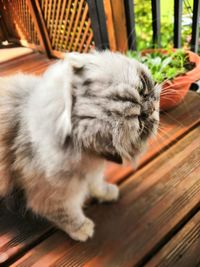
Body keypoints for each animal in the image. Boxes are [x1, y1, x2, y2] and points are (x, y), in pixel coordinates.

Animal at [0, 50, 160, 243]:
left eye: (142, 88)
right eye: (140, 121)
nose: (151, 109)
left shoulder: (92, 169)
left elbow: (97, 184)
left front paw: (106, 192)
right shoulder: (53, 194)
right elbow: (66, 214)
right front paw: (81, 228)